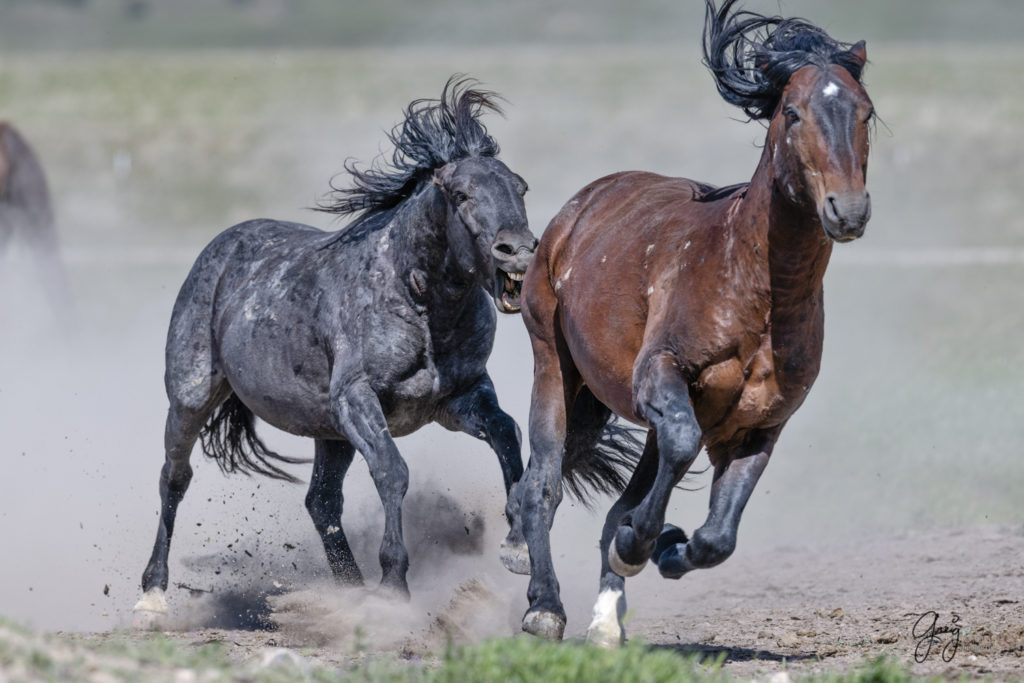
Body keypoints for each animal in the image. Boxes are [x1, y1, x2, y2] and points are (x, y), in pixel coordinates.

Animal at [134, 77, 544, 622]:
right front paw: (393, 585)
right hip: (192, 398)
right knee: (174, 478)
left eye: (520, 187)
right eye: (460, 194)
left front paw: (518, 547)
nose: (517, 251)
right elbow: (392, 471)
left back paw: (347, 592)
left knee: (321, 501)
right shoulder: (358, 398)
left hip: (329, 432)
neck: (416, 298)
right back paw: (152, 595)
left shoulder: (460, 398)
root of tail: (220, 247)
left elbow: (507, 434)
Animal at [499, 0, 876, 647]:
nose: (847, 211)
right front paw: (636, 546)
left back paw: (606, 623)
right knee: (542, 484)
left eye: (865, 112)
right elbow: (671, 454)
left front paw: (666, 547)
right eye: (793, 113)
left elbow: (717, 537)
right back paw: (544, 606)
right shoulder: (662, 374)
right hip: (554, 366)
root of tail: (580, 207)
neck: (755, 289)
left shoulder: (761, 424)